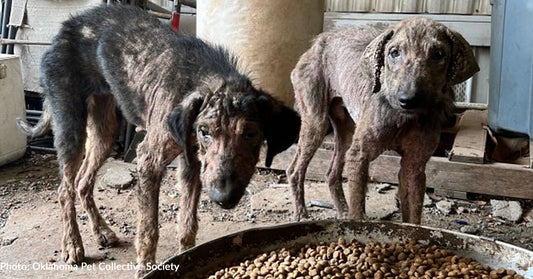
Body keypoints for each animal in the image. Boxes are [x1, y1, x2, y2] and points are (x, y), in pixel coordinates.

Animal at [16, 4, 300, 278]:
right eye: (205, 132)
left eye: (251, 134)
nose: (224, 198)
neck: (205, 79)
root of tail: (61, 31)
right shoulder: (149, 161)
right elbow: (148, 228)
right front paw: (145, 268)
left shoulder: (193, 165)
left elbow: (187, 224)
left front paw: (188, 257)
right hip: (70, 126)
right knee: (64, 189)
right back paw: (73, 244)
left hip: (105, 130)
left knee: (82, 182)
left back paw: (102, 232)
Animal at [286, 17, 478, 223]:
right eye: (394, 53)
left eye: (438, 54)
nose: (407, 100)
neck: (403, 118)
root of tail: (317, 42)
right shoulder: (359, 156)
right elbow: (357, 211)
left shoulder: (414, 166)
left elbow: (413, 215)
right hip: (316, 122)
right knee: (294, 171)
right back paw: (301, 215)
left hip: (346, 132)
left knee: (331, 174)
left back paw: (342, 211)